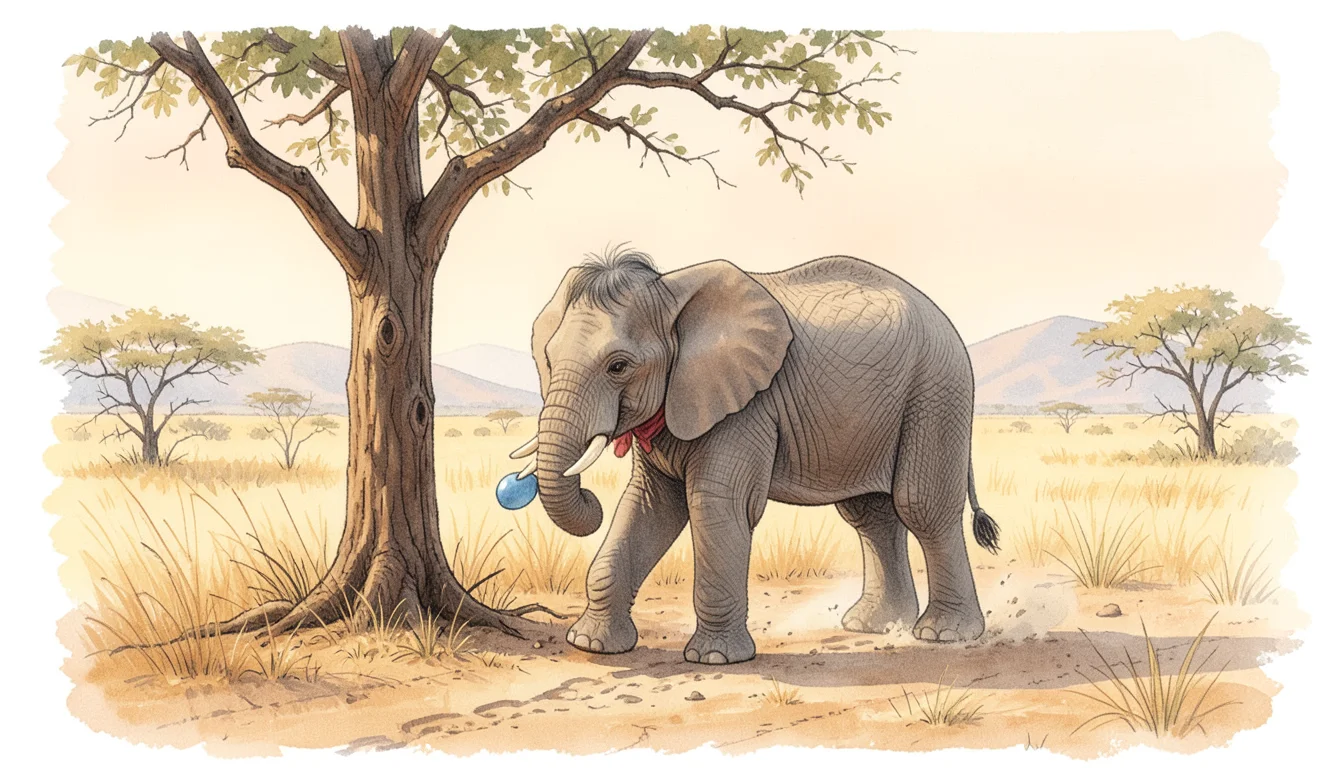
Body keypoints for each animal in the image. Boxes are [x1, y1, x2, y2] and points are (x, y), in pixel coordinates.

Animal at [511, 251, 1000, 665]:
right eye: (548, 359)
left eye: (618, 366)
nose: (590, 498)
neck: (672, 294)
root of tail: (947, 322)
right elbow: (648, 506)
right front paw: (590, 644)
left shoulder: (748, 408)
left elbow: (715, 504)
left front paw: (714, 659)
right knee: (870, 515)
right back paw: (873, 626)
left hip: (936, 389)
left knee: (921, 507)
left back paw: (943, 634)